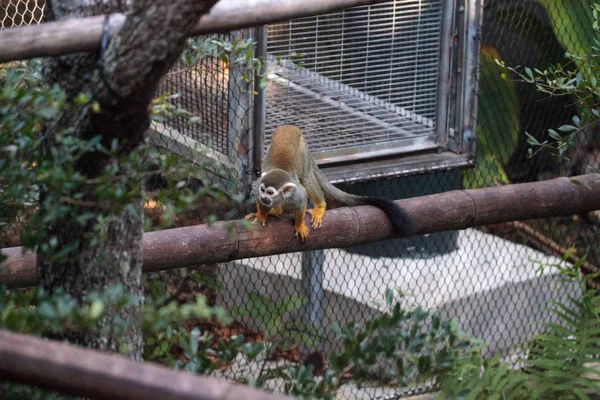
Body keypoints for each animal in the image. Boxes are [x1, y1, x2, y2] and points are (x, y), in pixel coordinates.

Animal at [245, 125, 412, 241]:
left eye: (270, 192)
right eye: (262, 190)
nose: (264, 197)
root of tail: (289, 127)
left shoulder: (295, 195)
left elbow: (301, 200)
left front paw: (299, 226)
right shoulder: (258, 185)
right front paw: (262, 215)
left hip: (303, 153)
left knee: (307, 178)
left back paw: (320, 206)